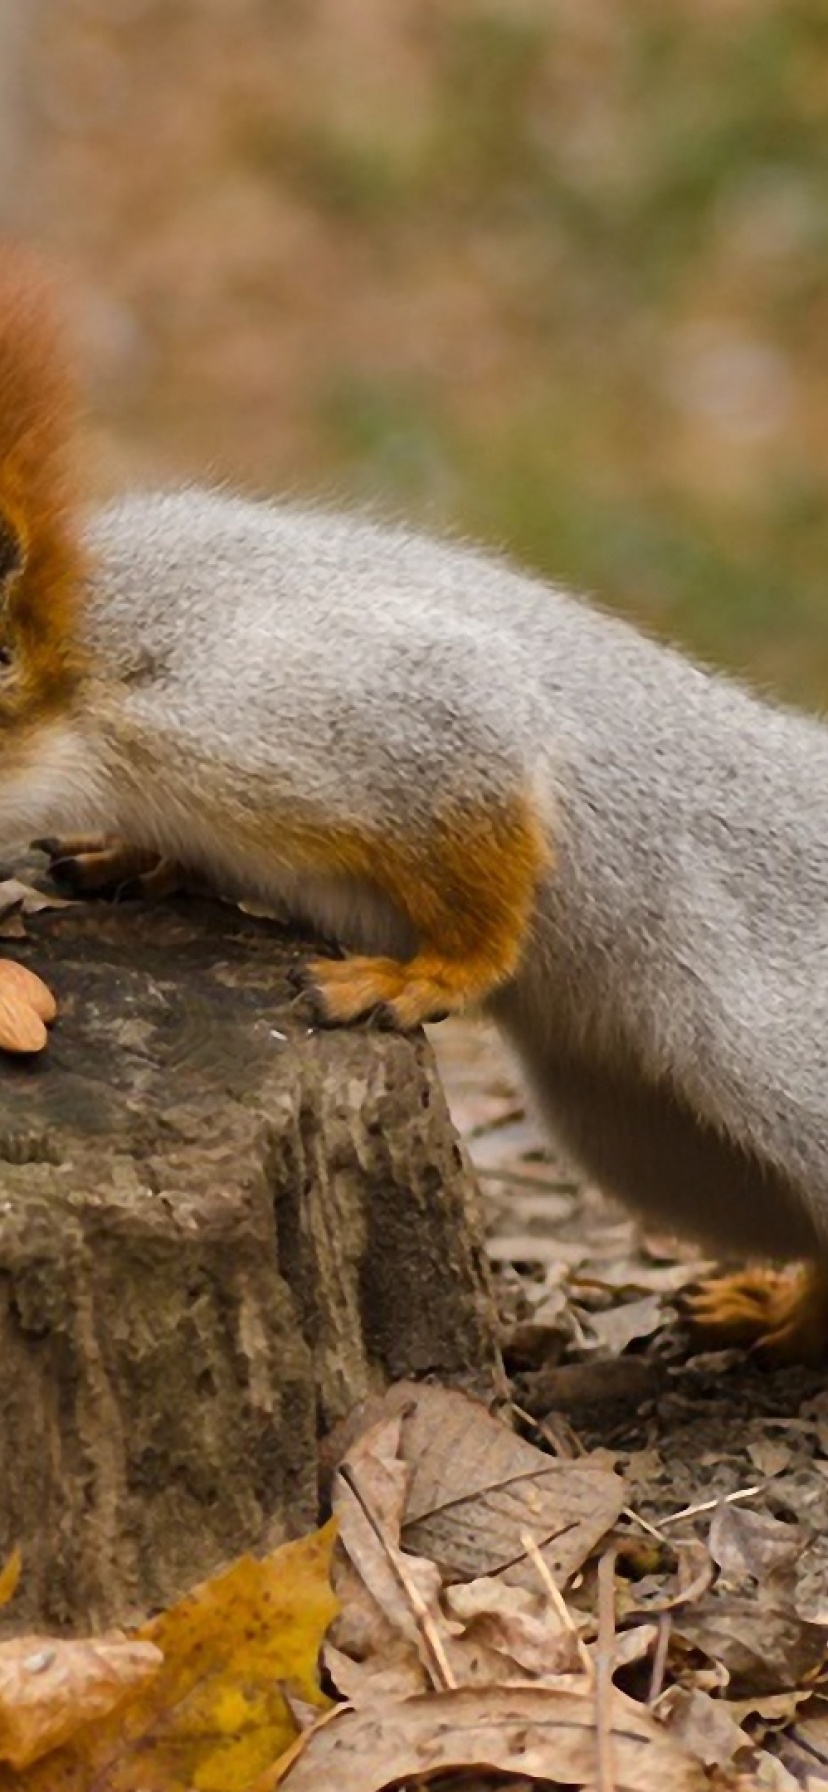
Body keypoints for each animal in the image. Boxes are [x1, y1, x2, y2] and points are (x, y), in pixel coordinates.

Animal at [1, 252, 828, 1354]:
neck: (85, 667)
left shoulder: (307, 699)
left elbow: (481, 777)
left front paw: (425, 977)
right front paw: (136, 857)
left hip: (785, 1059)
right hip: (649, 1137)